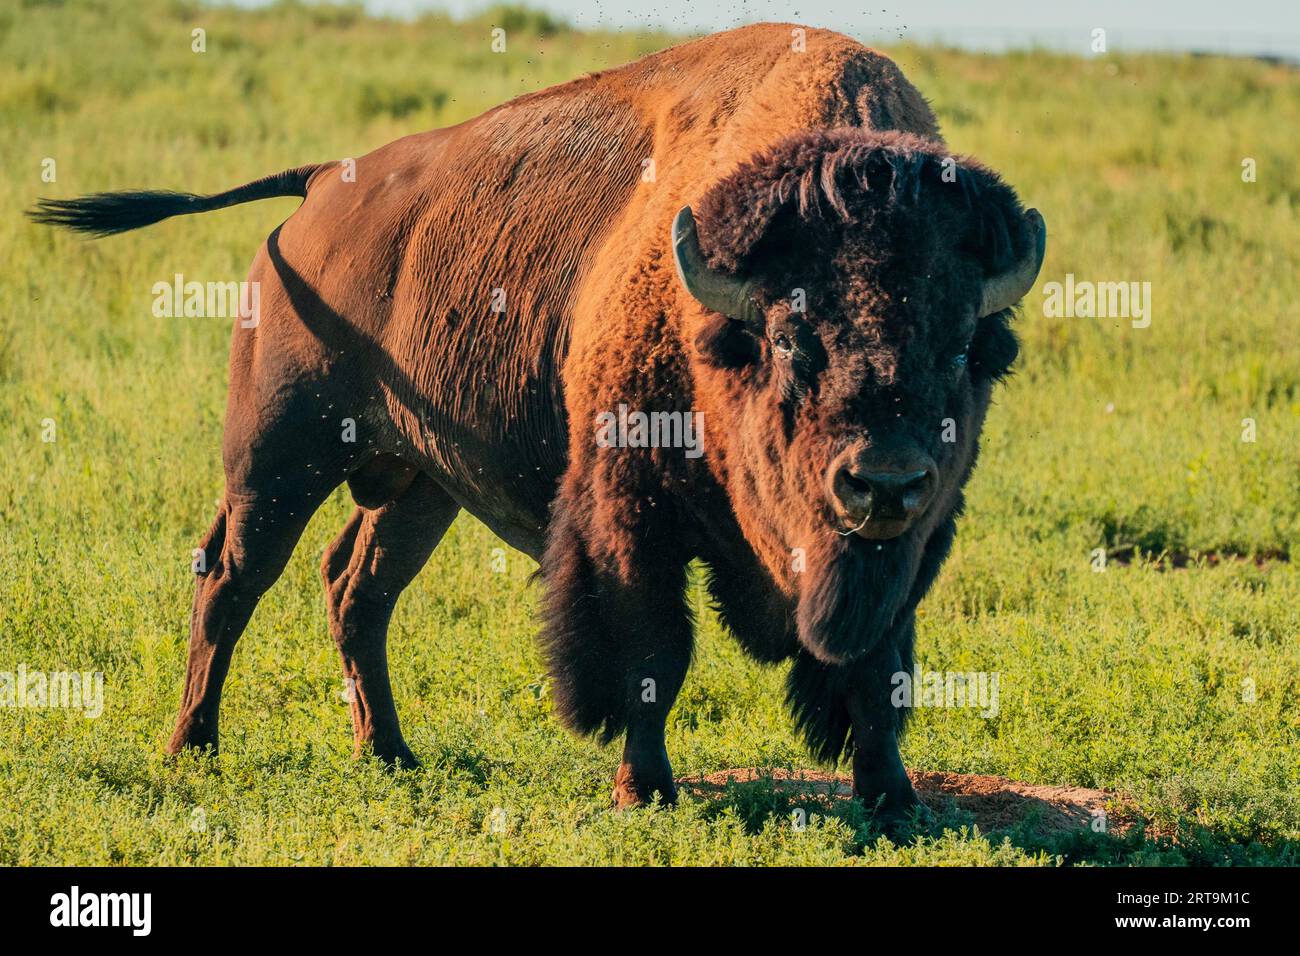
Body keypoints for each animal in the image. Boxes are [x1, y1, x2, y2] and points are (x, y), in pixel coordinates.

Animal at [30, 24, 1045, 837]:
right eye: (791, 337)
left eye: (966, 345)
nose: (884, 480)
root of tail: (321, 186)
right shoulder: (629, 521)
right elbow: (652, 653)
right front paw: (646, 792)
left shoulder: (912, 548)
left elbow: (879, 671)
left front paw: (895, 801)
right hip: (279, 456)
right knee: (233, 579)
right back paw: (192, 749)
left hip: (419, 485)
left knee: (356, 587)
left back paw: (389, 753)